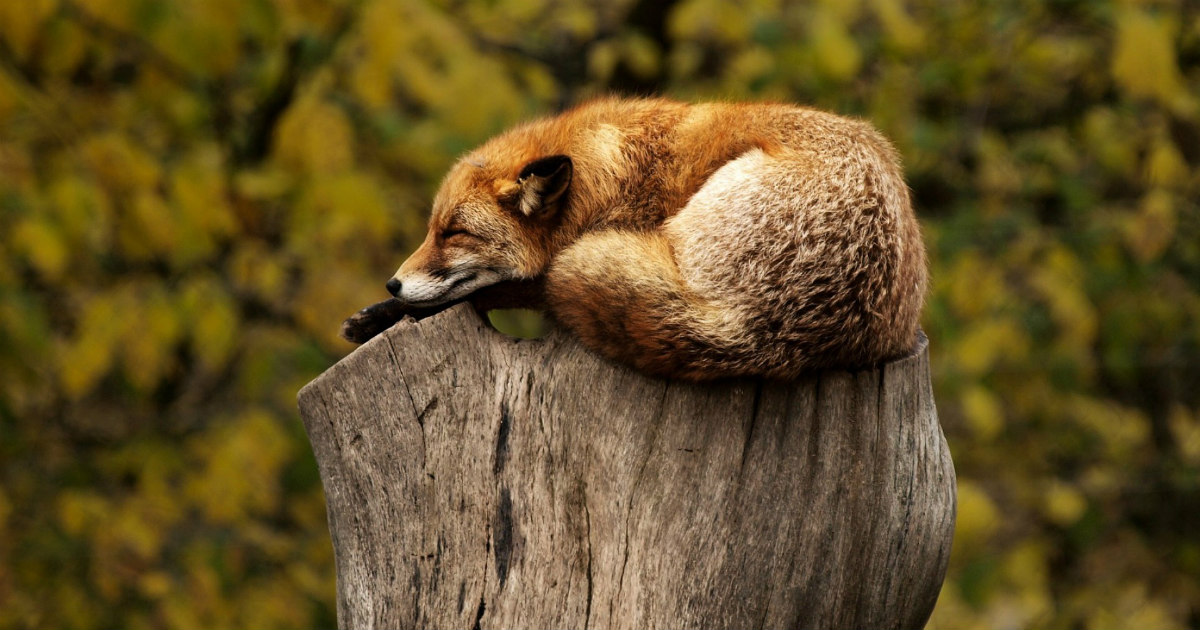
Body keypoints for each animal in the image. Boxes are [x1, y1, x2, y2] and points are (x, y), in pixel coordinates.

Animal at [341, 97, 927, 381]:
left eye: (454, 233)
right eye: (431, 229)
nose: (392, 283)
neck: (605, 179)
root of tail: (760, 331)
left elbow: (498, 289)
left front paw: (384, 314)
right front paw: (377, 314)